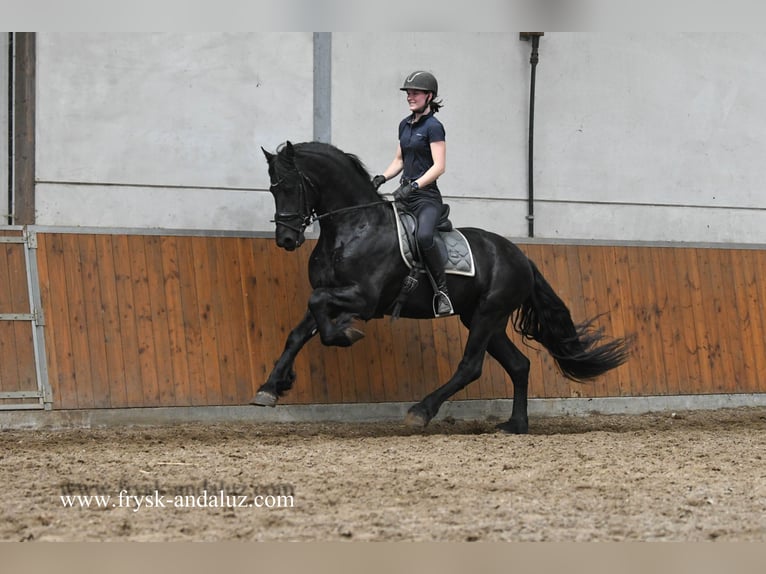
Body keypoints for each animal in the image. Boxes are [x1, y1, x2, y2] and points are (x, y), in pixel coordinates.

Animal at [255, 142, 632, 434]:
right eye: (272, 189)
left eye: (290, 187)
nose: (286, 239)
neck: (353, 225)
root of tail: (520, 256)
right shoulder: (332, 293)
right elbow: (300, 329)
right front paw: (272, 386)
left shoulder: (364, 299)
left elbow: (319, 308)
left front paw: (344, 335)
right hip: (484, 319)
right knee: (520, 365)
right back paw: (515, 425)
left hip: (487, 314)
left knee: (471, 366)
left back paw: (421, 411)